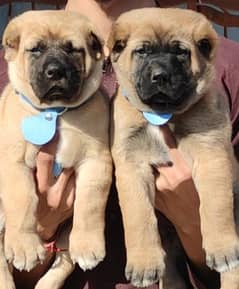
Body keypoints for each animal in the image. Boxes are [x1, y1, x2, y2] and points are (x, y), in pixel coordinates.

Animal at [0, 10, 112, 286]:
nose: (55, 71)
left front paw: (88, 246)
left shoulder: (96, 161)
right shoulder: (13, 161)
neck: (55, 111)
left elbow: (90, 203)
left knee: (63, 261)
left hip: (64, 239)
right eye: (35, 49)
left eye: (73, 49)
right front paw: (25, 246)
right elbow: (23, 199)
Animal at [109, 7, 239, 286]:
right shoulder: (131, 166)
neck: (164, 113)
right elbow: (138, 216)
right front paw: (144, 263)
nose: (160, 76)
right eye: (142, 51)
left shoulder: (210, 153)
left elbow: (215, 203)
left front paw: (221, 248)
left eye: (180, 52)